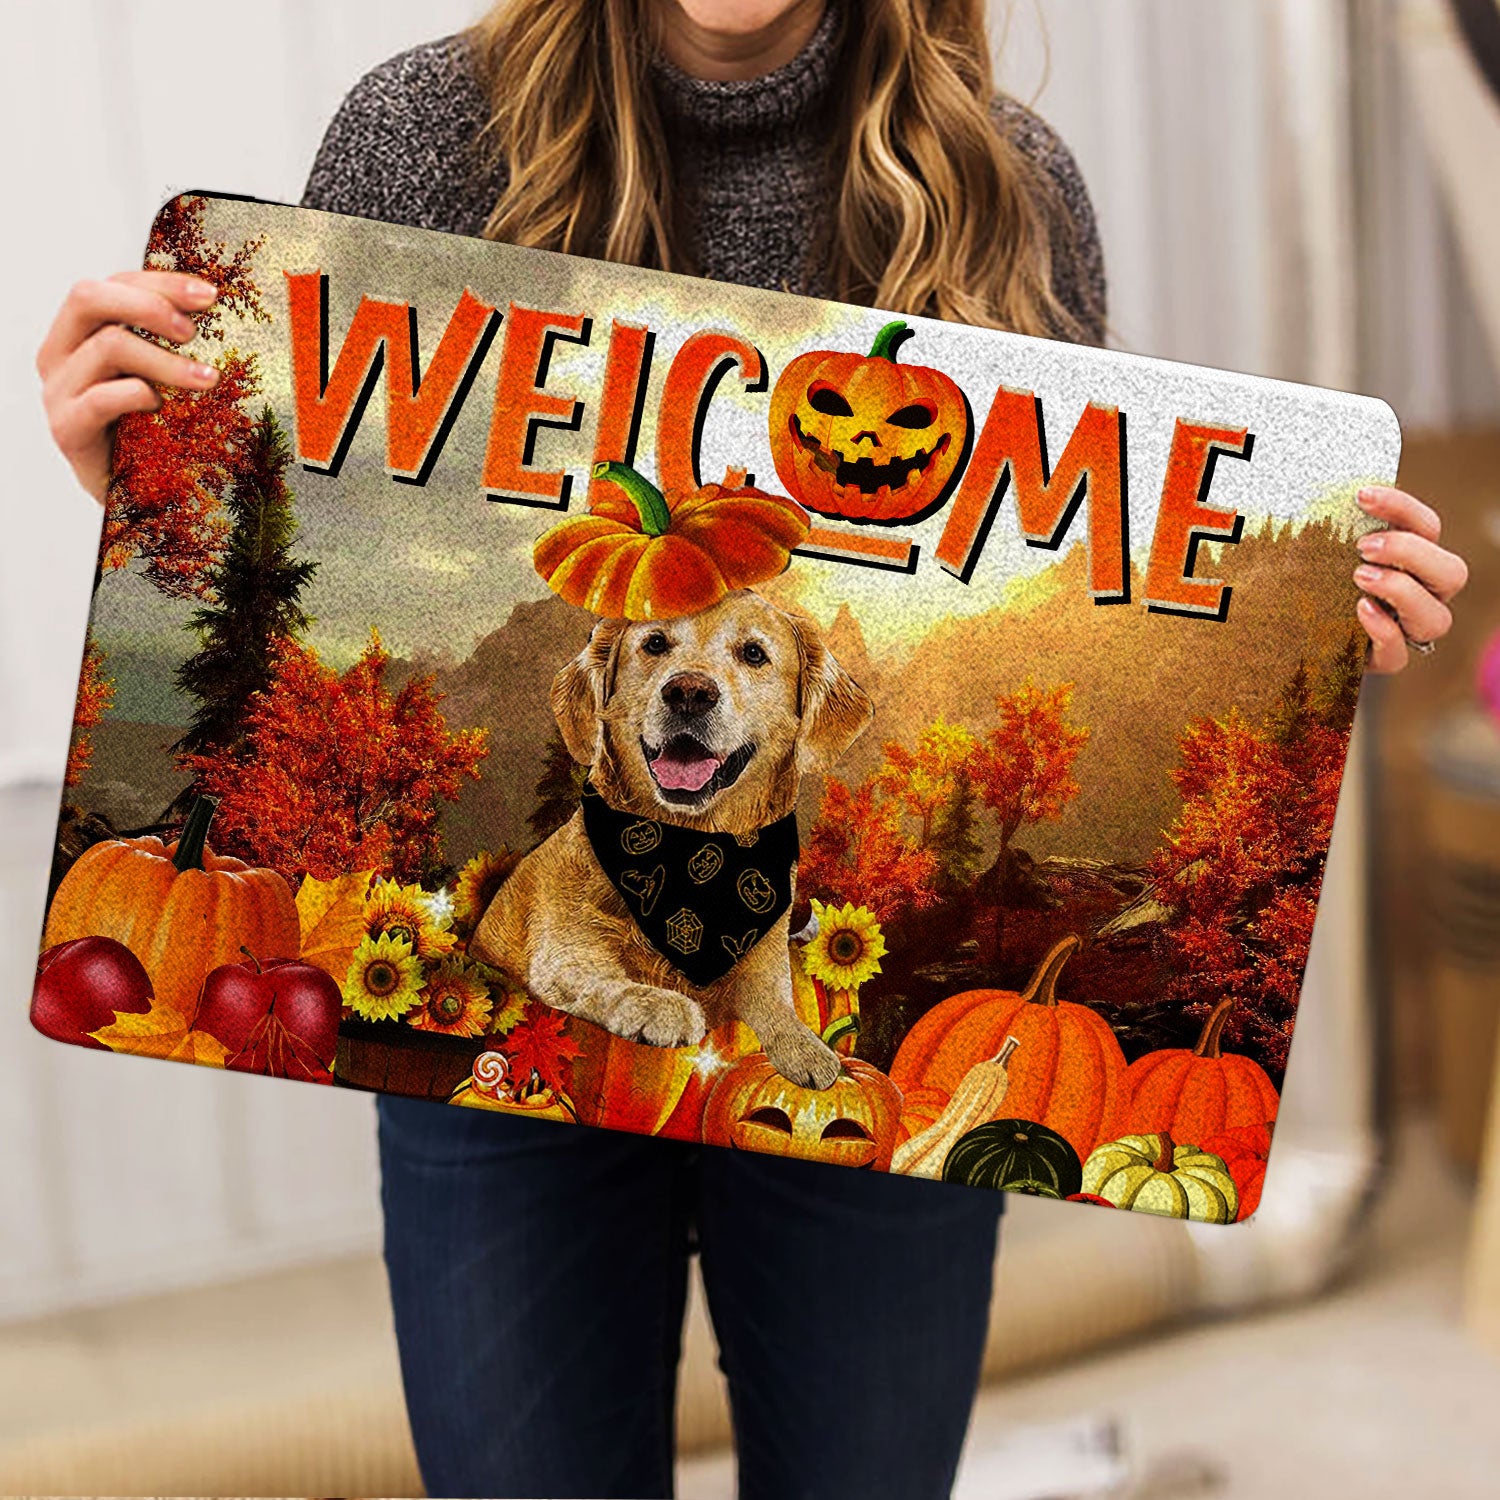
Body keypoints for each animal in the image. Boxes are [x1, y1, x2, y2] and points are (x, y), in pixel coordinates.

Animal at [468, 585, 870, 1092]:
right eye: (655, 643)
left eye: (754, 653)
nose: (689, 692)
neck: (695, 843)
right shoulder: (561, 952)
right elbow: (601, 980)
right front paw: (659, 1005)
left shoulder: (763, 955)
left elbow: (777, 1002)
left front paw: (804, 1047)